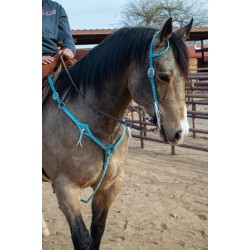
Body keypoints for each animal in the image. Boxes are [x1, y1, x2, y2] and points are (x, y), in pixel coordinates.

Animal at [42, 18, 192, 250]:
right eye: (163, 76)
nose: (180, 132)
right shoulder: (65, 188)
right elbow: (82, 239)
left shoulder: (110, 186)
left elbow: (97, 231)